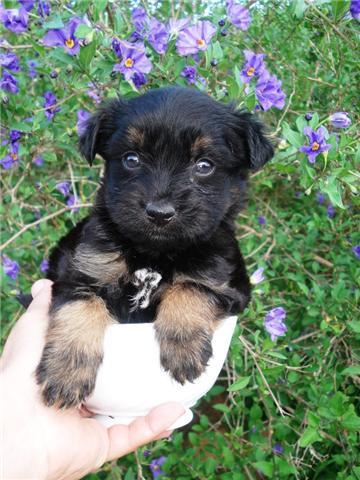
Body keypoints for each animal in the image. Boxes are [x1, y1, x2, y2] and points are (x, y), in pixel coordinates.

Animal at [36, 84, 272, 406]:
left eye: (204, 165)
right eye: (131, 159)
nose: (160, 212)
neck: (154, 253)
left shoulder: (228, 284)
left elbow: (191, 287)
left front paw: (184, 344)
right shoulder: (81, 271)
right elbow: (79, 308)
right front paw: (66, 371)